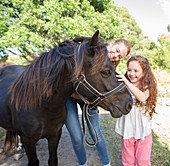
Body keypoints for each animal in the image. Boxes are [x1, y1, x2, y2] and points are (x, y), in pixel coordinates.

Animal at [0, 30, 133, 165]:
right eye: (106, 71)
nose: (129, 103)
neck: (42, 107)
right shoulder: (28, 140)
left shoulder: (54, 135)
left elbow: (53, 159)